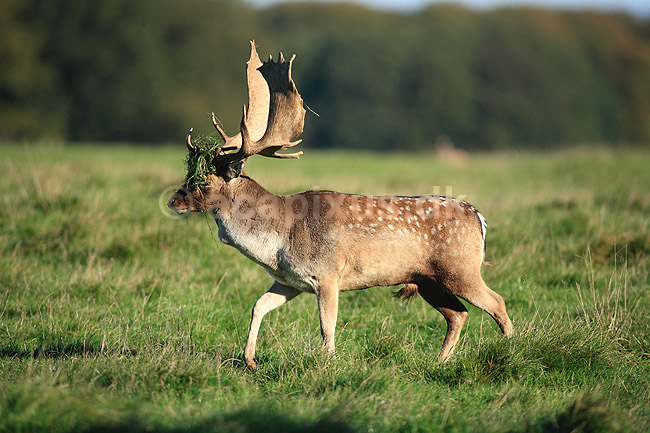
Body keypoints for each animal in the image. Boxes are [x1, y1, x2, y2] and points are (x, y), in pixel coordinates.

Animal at [167, 41, 513, 370]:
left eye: (203, 182)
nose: (173, 200)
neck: (278, 240)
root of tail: (478, 217)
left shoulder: (328, 274)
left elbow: (326, 326)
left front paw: (328, 362)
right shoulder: (289, 281)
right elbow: (258, 306)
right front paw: (250, 360)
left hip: (461, 269)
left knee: (496, 302)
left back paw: (512, 351)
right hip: (427, 279)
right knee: (458, 313)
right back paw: (439, 362)